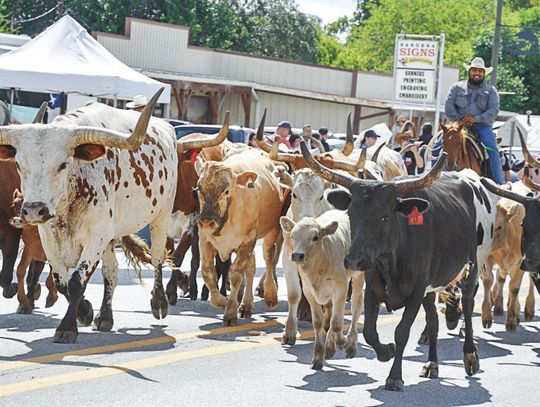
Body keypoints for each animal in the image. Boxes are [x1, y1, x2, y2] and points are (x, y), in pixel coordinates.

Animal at [280, 210, 364, 370]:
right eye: (293, 236)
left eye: (315, 237)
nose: (297, 255)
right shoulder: (309, 292)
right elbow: (319, 322)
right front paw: (318, 357)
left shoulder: (341, 288)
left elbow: (336, 323)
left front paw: (341, 343)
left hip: (358, 276)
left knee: (356, 304)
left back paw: (350, 345)